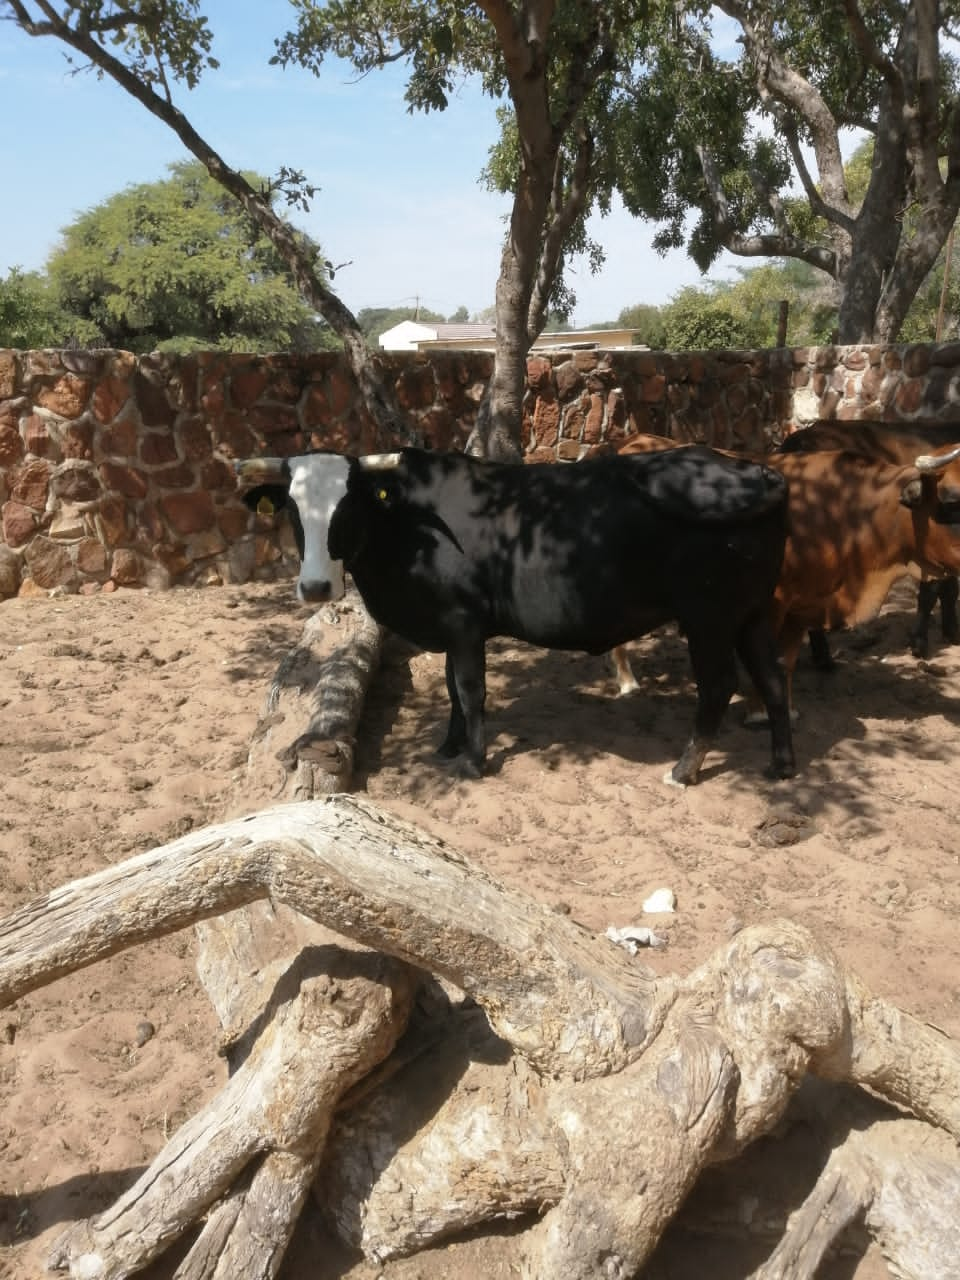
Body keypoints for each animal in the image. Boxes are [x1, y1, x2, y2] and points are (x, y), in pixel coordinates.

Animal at [239, 450, 798, 788]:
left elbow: (470, 690)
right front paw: (449, 745)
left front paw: (473, 759)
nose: (316, 587)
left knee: (719, 687)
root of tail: (756, 471)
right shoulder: (453, 628)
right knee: (773, 681)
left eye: (348, 506)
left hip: (709, 620)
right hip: (752, 615)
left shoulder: (463, 623)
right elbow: (450, 689)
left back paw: (683, 770)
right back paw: (781, 765)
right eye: (292, 508)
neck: (411, 529)